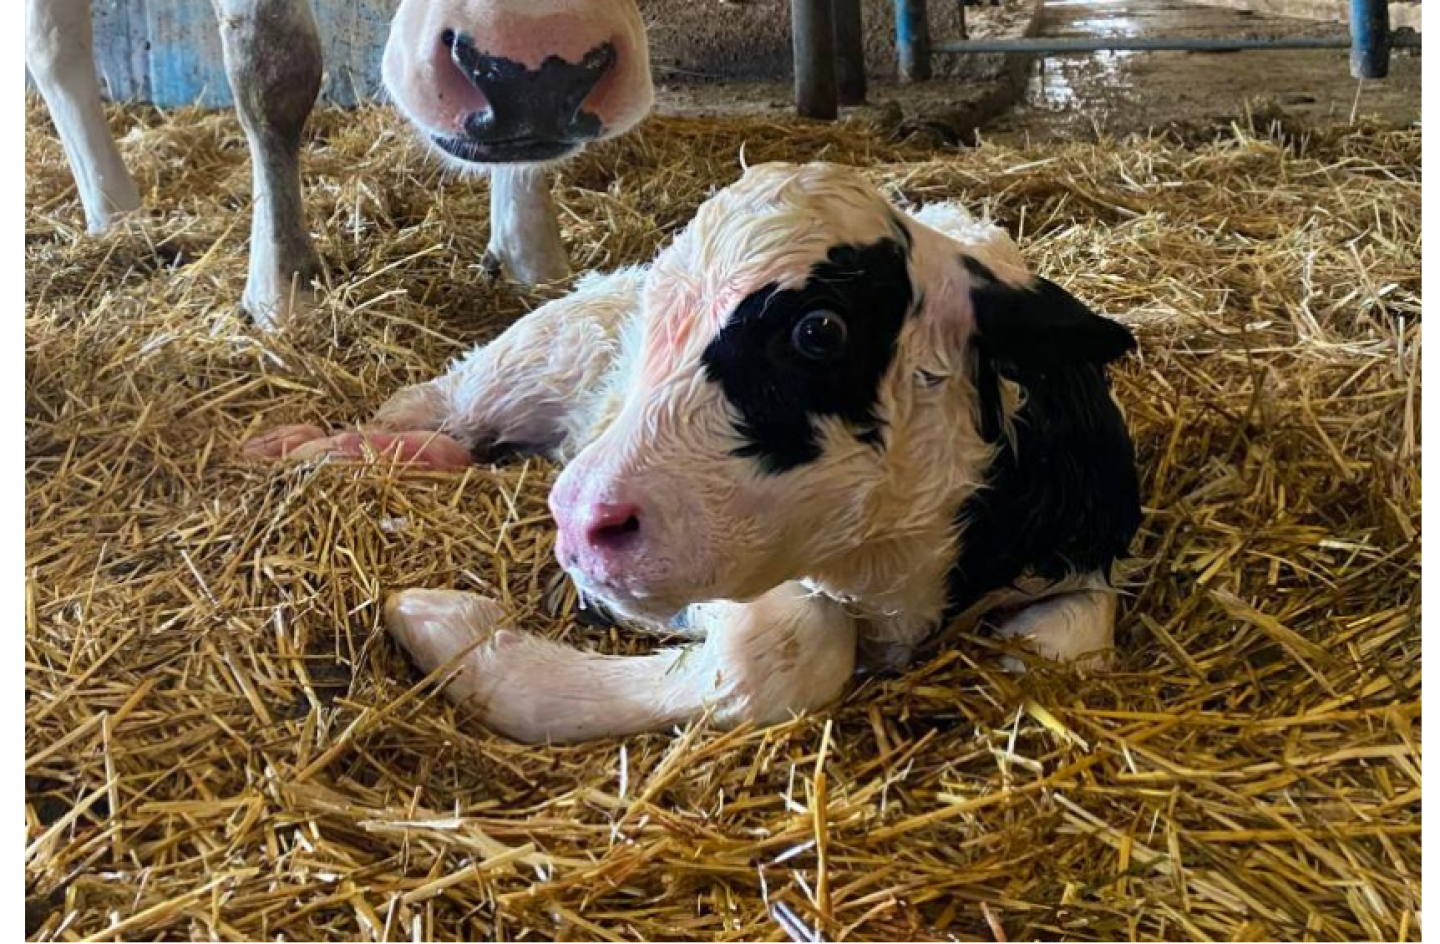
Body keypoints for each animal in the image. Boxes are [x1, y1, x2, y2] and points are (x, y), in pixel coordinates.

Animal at [24, 0, 654, 324]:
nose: (533, 75)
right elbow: (273, 65)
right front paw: (282, 287)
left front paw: (535, 260)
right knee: (52, 41)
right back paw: (115, 214)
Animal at [247, 161, 1142, 743]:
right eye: (663, 315)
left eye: (819, 331)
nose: (579, 521)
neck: (901, 576)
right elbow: (793, 649)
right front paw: (451, 627)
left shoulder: (1084, 553)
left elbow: (1061, 649)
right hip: (539, 349)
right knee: (430, 403)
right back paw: (312, 448)